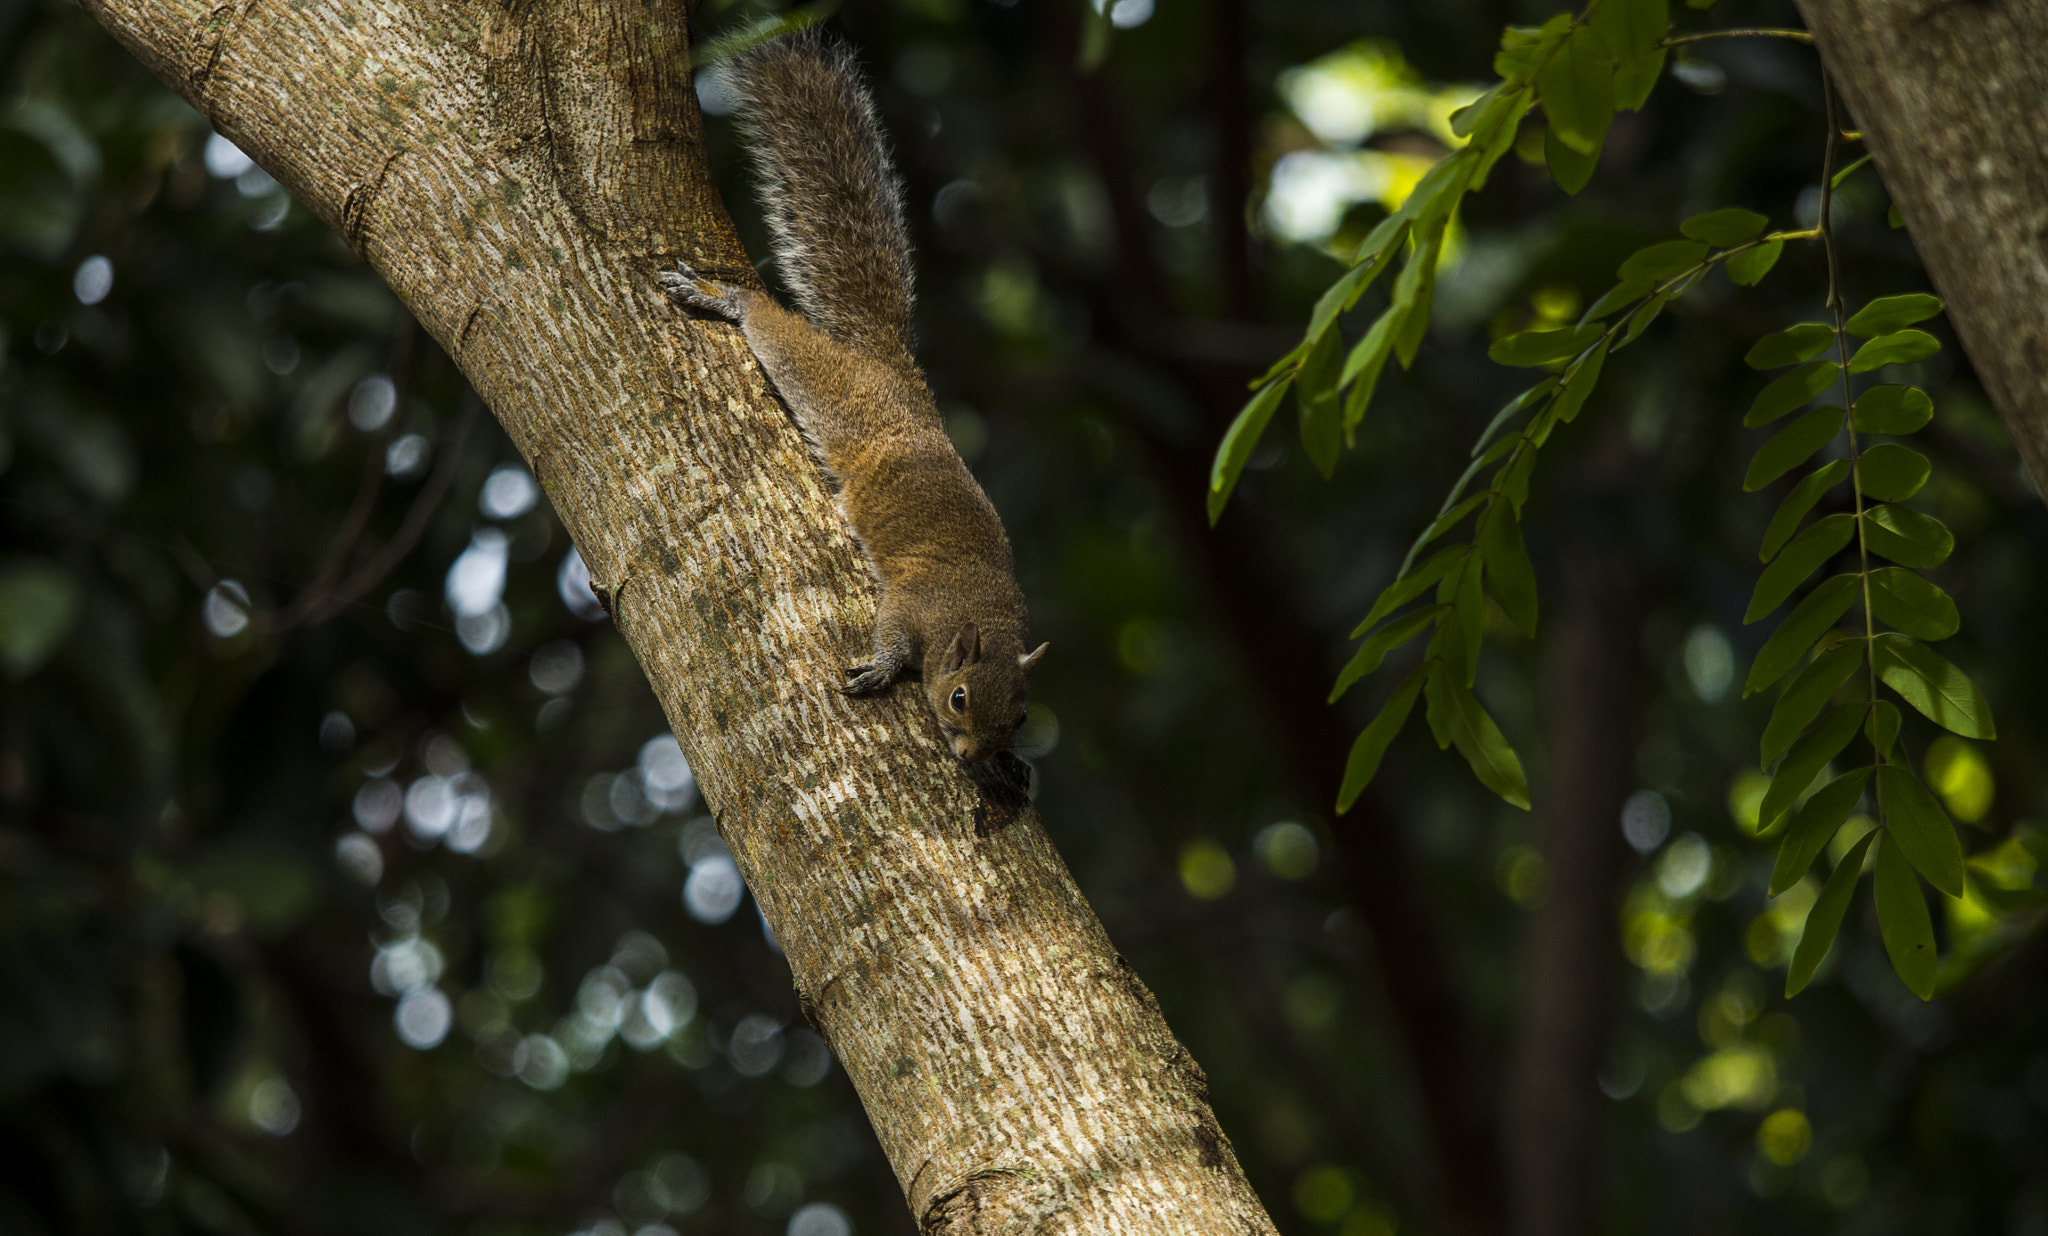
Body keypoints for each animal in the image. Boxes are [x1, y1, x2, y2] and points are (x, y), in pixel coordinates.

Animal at [663, 28, 1048, 761]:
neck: (981, 614)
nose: (972, 757)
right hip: (833, 390)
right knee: (774, 330)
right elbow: (894, 632)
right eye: (959, 698)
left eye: (1019, 718)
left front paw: (1012, 771)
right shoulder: (912, 600)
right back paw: (724, 298)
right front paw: (885, 668)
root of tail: (895, 375)